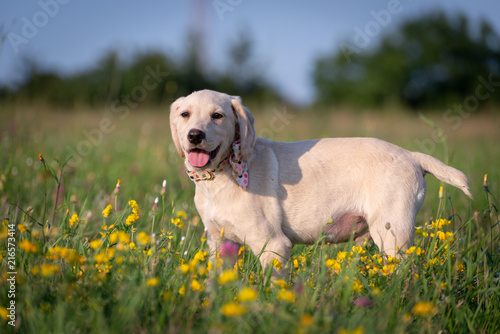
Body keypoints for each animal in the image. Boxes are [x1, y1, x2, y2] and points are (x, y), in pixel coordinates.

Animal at [170, 88, 470, 276]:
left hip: (393, 235)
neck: (219, 178)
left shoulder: (274, 245)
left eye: (217, 116)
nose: (194, 135)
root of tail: (411, 155)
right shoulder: (217, 243)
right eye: (185, 115)